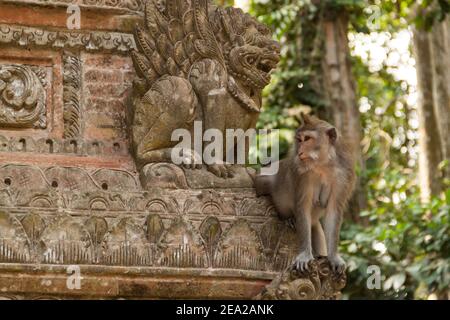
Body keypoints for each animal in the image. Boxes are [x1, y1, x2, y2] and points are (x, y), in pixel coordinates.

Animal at [256, 112, 356, 272]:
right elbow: (302, 206)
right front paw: (304, 255)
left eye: (307, 138)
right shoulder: (302, 175)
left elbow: (333, 211)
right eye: (299, 140)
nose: (299, 152)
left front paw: (333, 257)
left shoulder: (344, 176)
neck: (323, 166)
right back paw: (288, 218)